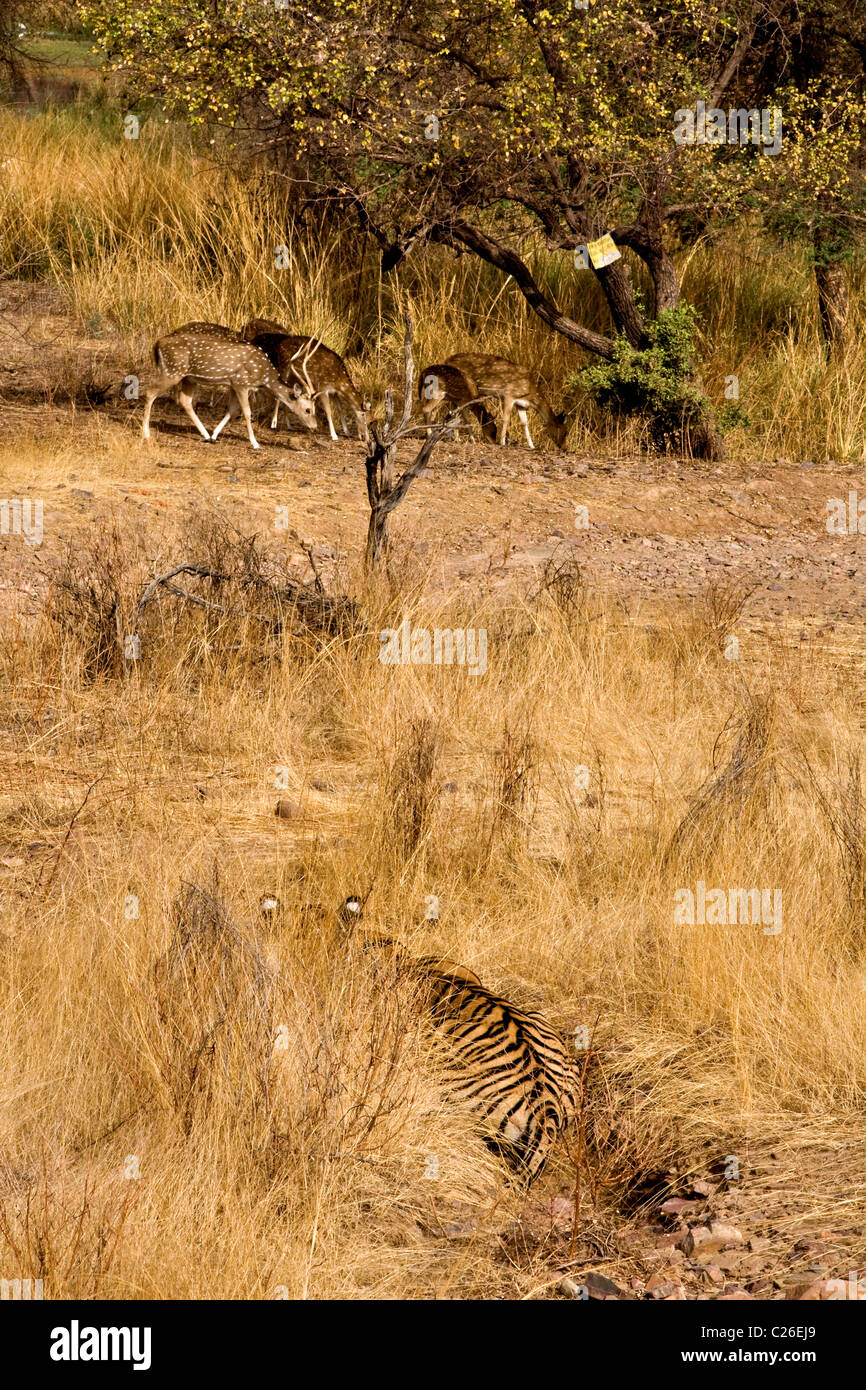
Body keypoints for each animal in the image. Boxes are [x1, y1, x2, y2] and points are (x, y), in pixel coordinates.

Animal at [140, 322, 316, 447]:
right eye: (307, 409)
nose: (314, 427)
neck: (263, 376)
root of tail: (157, 344)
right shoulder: (241, 383)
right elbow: (247, 412)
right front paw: (255, 443)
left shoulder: (232, 385)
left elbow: (232, 410)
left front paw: (214, 435)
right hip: (172, 371)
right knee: (150, 392)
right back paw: (146, 433)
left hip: (188, 378)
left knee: (185, 401)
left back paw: (205, 435)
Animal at [241, 318, 369, 442]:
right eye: (363, 414)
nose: (364, 437)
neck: (339, 379)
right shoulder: (322, 386)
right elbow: (328, 410)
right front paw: (334, 435)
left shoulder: (334, 392)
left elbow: (340, 409)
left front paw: (346, 432)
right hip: (284, 368)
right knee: (278, 395)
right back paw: (273, 423)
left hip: (292, 375)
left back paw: (288, 425)